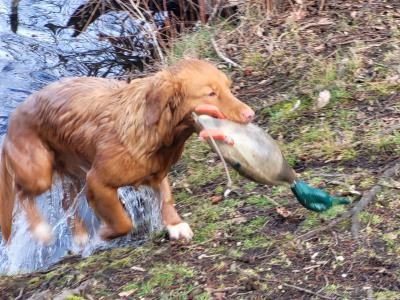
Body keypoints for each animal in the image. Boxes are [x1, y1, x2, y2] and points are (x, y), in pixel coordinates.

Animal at [0, 58, 255, 244]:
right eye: (211, 93)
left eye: (228, 88)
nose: (250, 114)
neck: (155, 131)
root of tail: (14, 115)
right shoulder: (97, 181)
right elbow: (123, 222)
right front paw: (106, 233)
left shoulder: (156, 173)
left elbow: (166, 199)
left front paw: (174, 224)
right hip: (39, 173)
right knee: (21, 193)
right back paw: (41, 230)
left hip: (74, 171)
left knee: (65, 202)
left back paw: (79, 235)